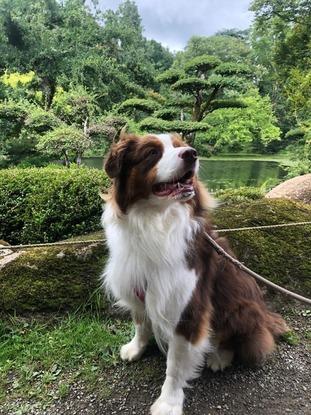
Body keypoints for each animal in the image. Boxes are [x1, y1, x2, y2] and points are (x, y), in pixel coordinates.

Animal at [101, 132, 288, 415]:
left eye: (181, 147)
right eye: (152, 153)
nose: (192, 153)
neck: (154, 221)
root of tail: (266, 317)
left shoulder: (188, 307)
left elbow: (176, 365)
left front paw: (168, 402)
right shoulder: (137, 285)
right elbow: (141, 323)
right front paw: (136, 348)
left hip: (242, 308)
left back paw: (220, 356)